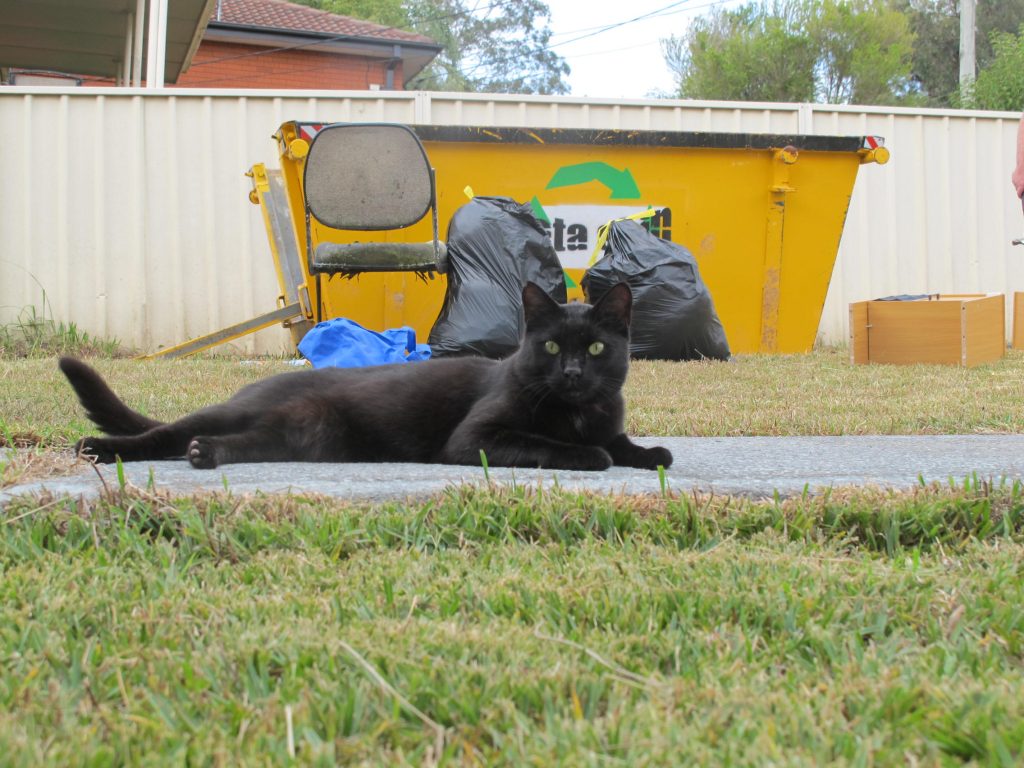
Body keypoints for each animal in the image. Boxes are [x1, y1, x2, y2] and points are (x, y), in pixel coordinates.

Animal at [61, 282, 671, 473]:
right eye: (550, 347)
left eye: (596, 348)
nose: (572, 372)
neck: (579, 411)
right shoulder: (475, 438)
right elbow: (563, 447)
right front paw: (592, 455)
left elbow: (627, 444)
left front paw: (649, 453)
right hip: (233, 412)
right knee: (162, 433)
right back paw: (100, 448)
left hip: (294, 439)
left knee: (234, 444)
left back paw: (205, 454)